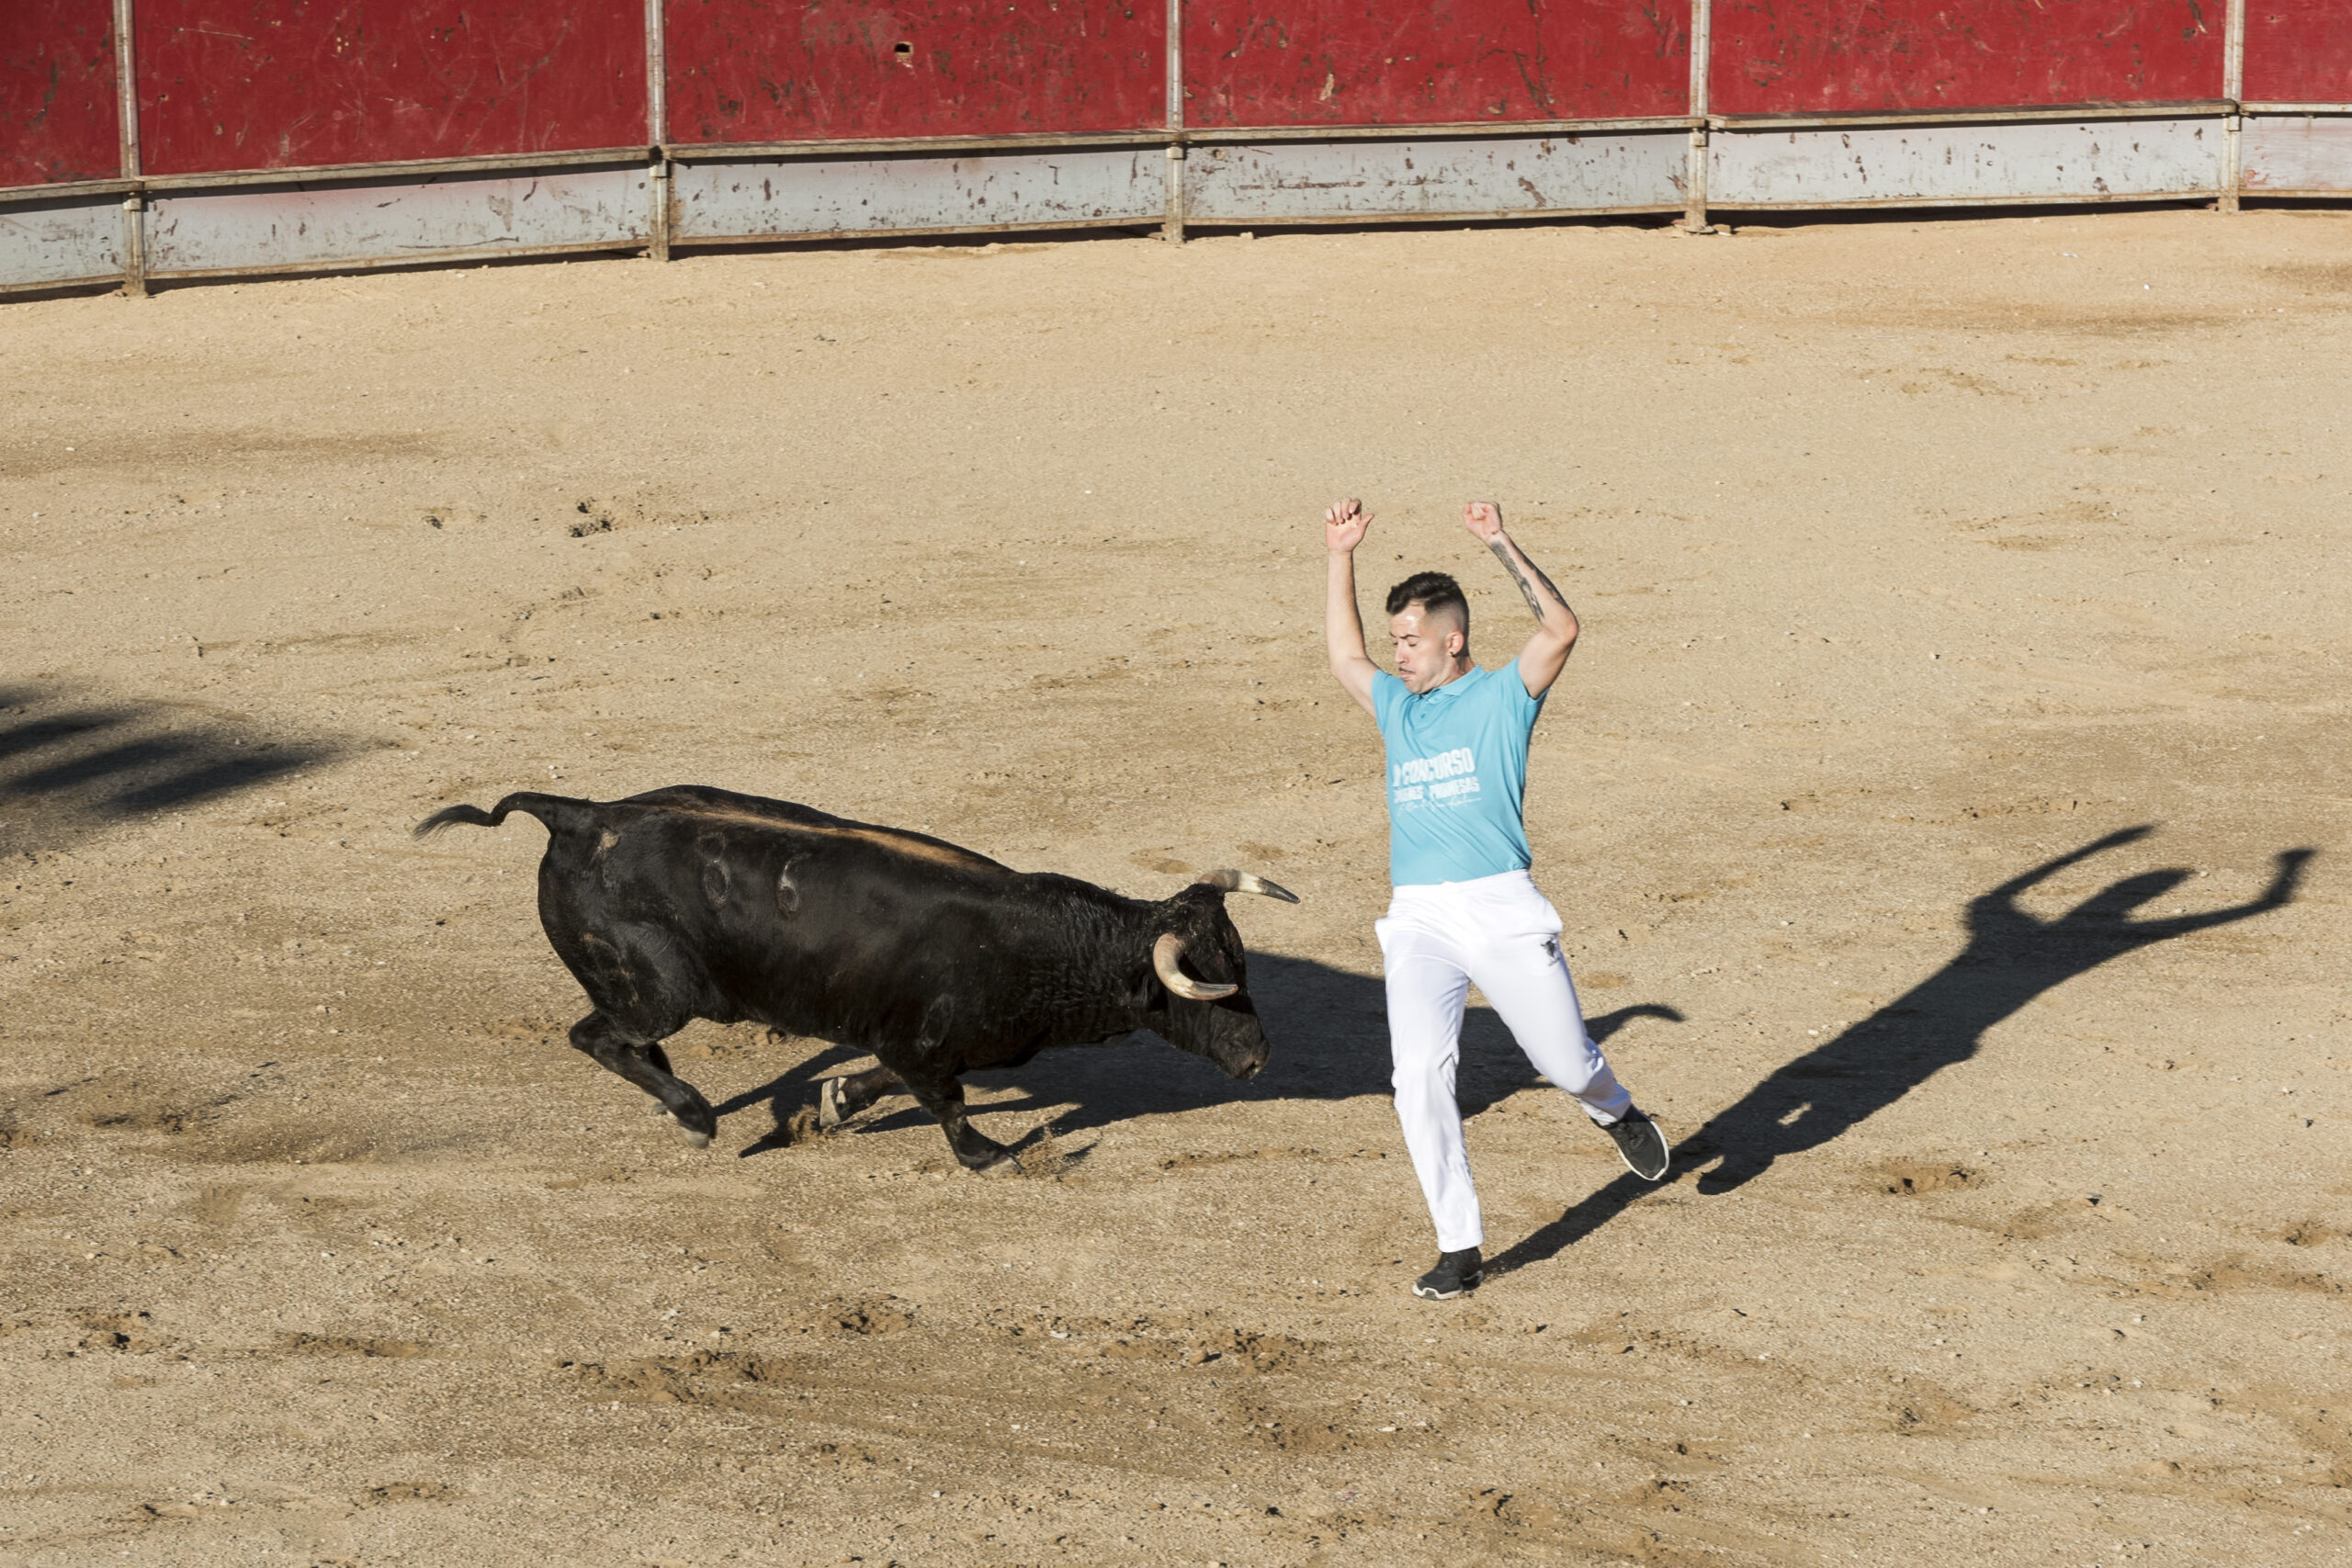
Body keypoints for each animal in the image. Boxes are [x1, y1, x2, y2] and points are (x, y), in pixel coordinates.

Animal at [413, 784, 1298, 1166]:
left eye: (1244, 962)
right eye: (1217, 983)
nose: (1260, 1057)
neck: (1047, 944)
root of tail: (581, 813)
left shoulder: (909, 1041)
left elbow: (883, 1078)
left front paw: (836, 1101)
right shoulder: (930, 1048)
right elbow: (950, 1108)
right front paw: (991, 1154)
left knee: (621, 1043)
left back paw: (681, 1106)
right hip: (661, 993)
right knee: (597, 1035)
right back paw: (694, 1114)